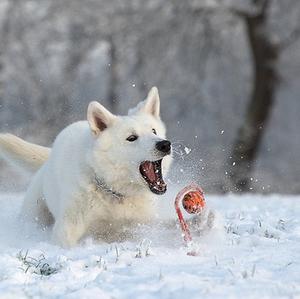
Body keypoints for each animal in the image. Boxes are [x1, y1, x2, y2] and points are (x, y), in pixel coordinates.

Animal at [0, 87, 171, 248]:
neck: (114, 193)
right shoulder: (67, 229)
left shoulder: (139, 227)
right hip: (33, 214)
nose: (164, 144)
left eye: (154, 131)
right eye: (132, 138)